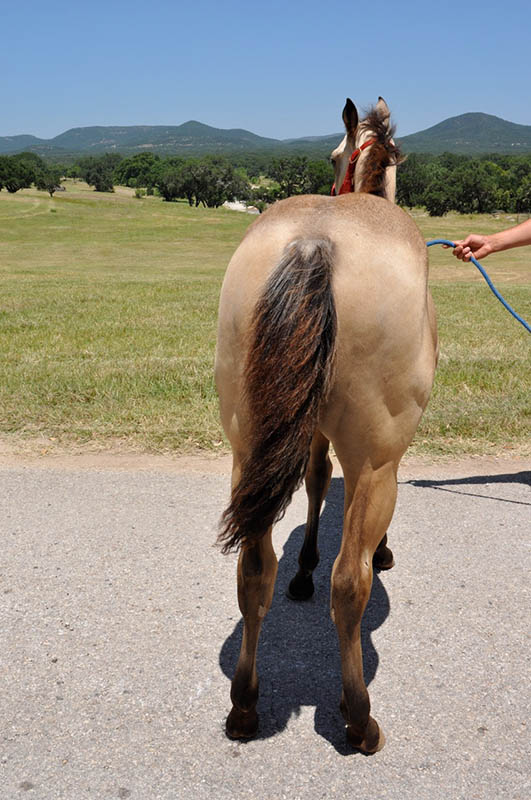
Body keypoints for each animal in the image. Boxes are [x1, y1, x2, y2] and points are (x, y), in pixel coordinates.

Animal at [214, 97, 438, 752]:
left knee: (252, 571)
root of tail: (317, 242)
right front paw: (357, 556)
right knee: (349, 585)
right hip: (374, 459)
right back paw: (359, 716)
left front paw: (301, 570)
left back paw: (244, 705)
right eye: (337, 153)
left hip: (246, 447)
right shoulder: (380, 457)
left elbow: (312, 482)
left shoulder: (302, 428)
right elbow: (327, 496)